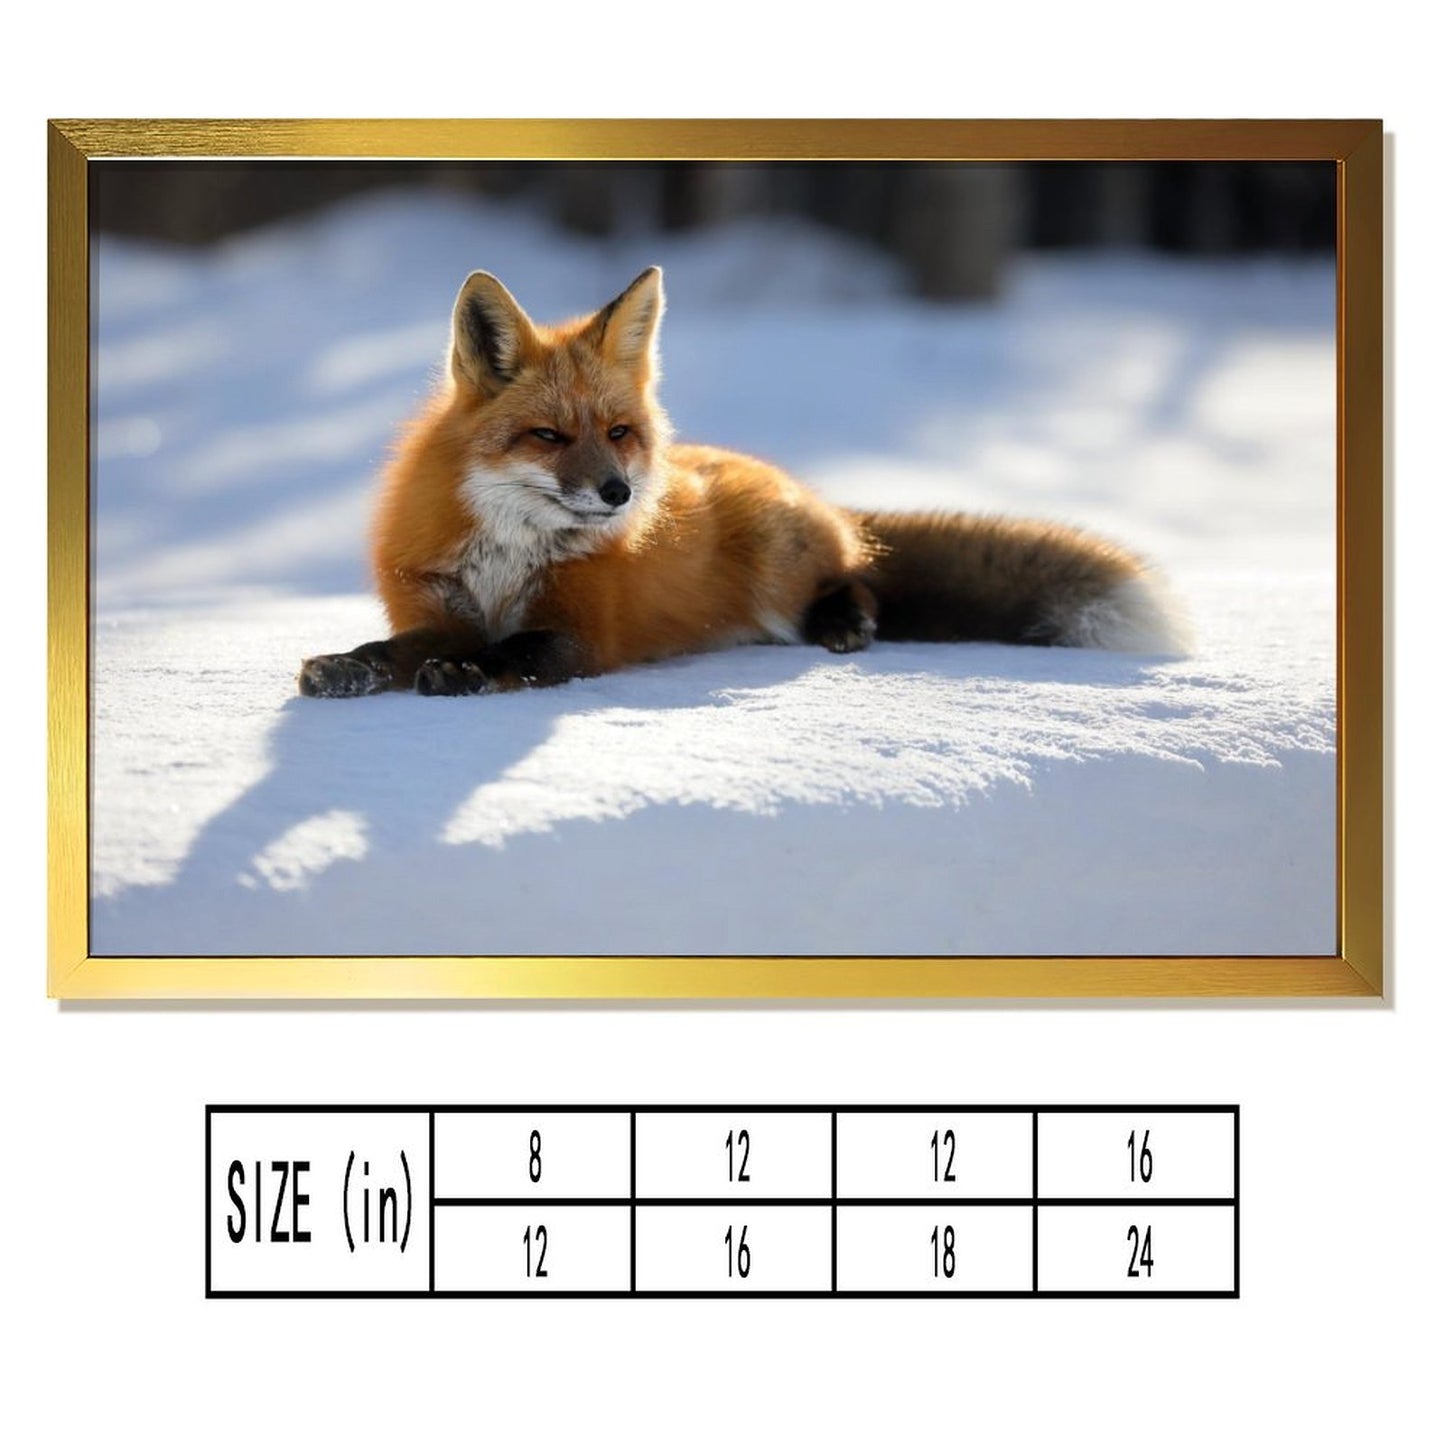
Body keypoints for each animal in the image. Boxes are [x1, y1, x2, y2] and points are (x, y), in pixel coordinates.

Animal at [298, 266, 1189, 700]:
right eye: (547, 436)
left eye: (617, 433)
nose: (619, 493)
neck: (506, 558)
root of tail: (809, 493)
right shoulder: (438, 610)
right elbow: (391, 648)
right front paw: (347, 665)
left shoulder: (580, 631)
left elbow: (512, 649)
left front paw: (470, 675)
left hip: (780, 571)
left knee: (859, 579)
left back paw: (846, 623)